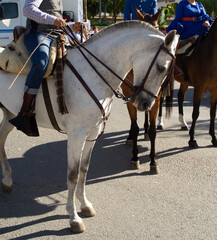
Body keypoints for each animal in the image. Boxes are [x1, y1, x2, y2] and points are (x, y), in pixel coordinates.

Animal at [0, 21, 179, 232]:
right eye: (161, 67)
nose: (145, 104)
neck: (93, 73)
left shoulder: (93, 132)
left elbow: (84, 170)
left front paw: (84, 205)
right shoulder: (76, 134)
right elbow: (73, 174)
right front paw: (73, 217)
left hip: (10, 115)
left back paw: (7, 180)